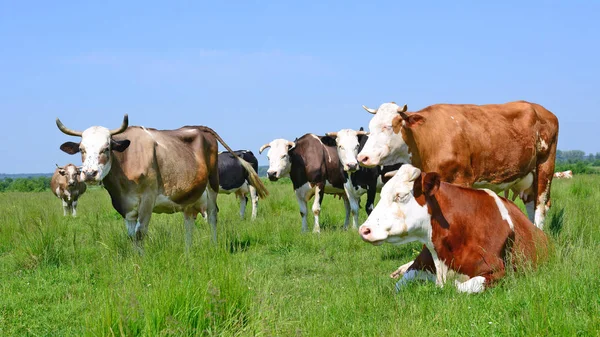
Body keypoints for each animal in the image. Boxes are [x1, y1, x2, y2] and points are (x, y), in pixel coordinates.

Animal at [356, 101, 556, 230]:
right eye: (370, 127)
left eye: (388, 126)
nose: (362, 157)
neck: (428, 138)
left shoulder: (462, 179)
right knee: (531, 204)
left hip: (545, 167)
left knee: (540, 206)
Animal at [358, 164, 548, 292]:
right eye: (382, 194)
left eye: (401, 196)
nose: (364, 230)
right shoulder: (420, 264)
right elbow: (398, 287)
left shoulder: (500, 272)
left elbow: (459, 287)